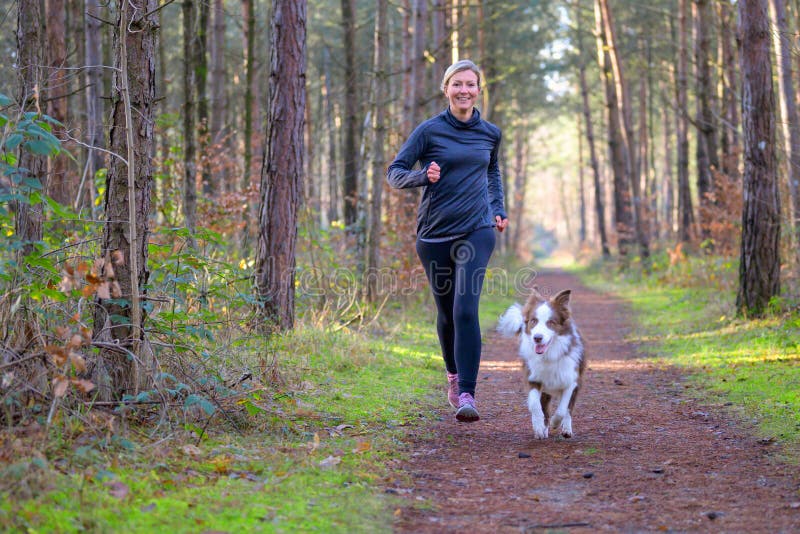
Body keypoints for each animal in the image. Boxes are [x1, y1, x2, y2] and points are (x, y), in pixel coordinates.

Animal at [496, 288, 584, 440]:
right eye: (533, 321)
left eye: (551, 322)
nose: (537, 338)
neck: (548, 355)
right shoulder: (533, 378)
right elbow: (535, 405)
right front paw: (538, 427)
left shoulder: (571, 380)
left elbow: (562, 408)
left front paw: (556, 423)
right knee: (545, 409)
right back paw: (544, 429)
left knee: (569, 408)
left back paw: (566, 429)